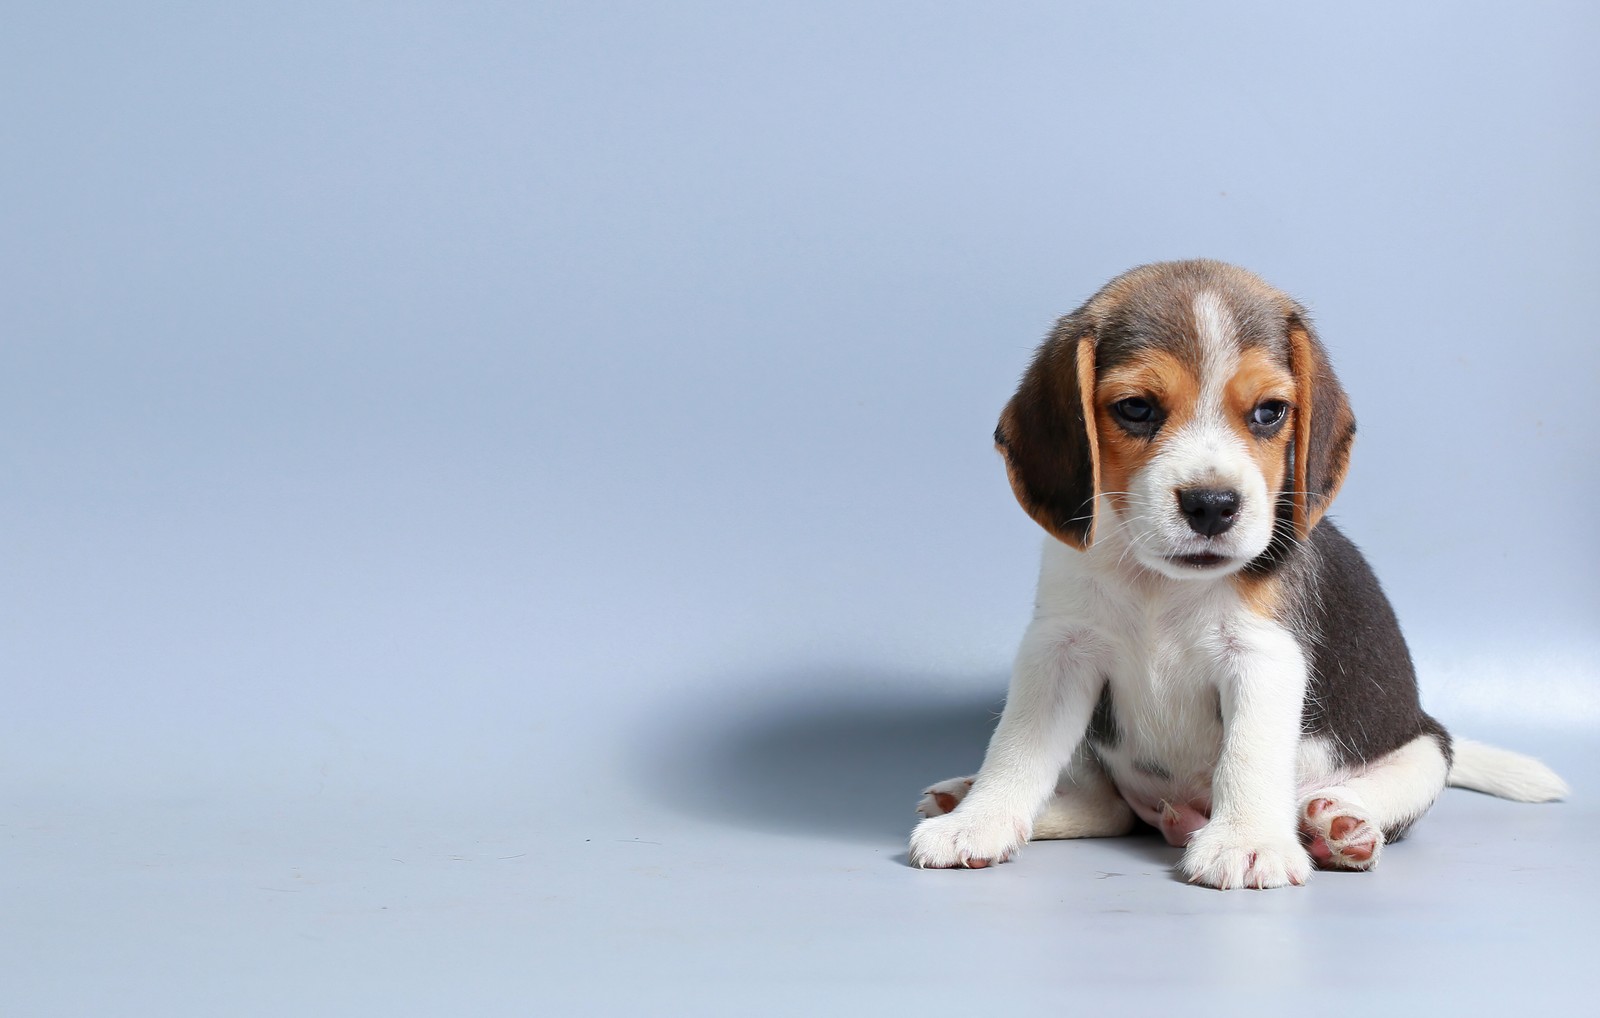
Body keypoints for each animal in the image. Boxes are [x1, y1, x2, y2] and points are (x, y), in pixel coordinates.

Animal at [908, 262, 1568, 889]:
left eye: (1270, 412)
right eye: (1136, 408)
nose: (1212, 504)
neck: (1162, 584)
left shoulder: (1261, 658)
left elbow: (1248, 757)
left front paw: (1248, 841)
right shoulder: (1059, 652)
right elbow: (1017, 750)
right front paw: (979, 821)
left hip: (1426, 748)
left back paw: (1338, 827)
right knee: (1108, 808)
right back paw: (972, 800)